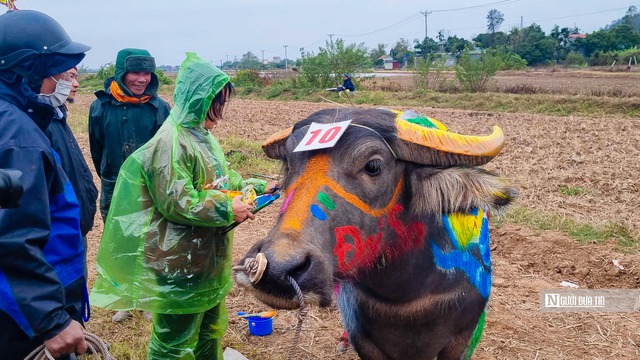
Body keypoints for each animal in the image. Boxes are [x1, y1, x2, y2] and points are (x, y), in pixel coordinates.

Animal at [234, 107, 516, 360]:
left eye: (373, 166)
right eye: (288, 163)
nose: (276, 269)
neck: (405, 295)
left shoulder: (464, 338)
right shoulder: (364, 339)